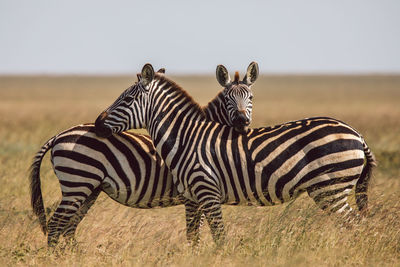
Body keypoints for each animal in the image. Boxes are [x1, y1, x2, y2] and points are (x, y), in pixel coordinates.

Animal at [29, 62, 258, 247]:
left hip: (88, 188)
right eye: (228, 100)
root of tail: (58, 135)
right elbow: (196, 232)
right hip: (77, 183)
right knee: (56, 225)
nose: (242, 122)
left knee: (68, 228)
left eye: (251, 98)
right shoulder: (198, 192)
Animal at [95, 63, 376, 247]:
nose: (97, 124)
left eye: (127, 99)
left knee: (358, 227)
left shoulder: (208, 192)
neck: (185, 137)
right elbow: (193, 238)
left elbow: (219, 238)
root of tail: (357, 134)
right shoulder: (192, 197)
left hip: (331, 189)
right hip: (331, 191)